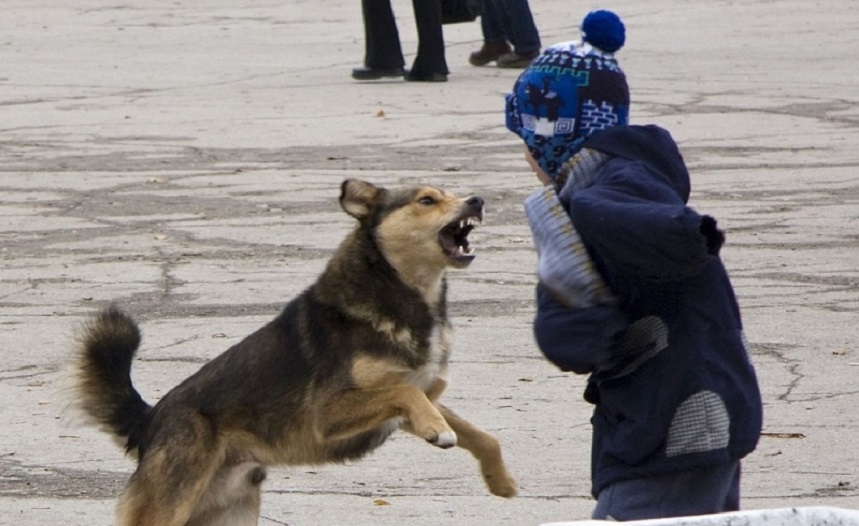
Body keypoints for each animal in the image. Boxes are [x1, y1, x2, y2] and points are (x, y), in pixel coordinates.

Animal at [72, 179, 516, 524]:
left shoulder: (415, 401)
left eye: (451, 192)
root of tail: (149, 421)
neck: (399, 293)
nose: (476, 200)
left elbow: (482, 435)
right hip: (170, 503)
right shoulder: (330, 414)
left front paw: (501, 479)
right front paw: (439, 432)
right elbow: (405, 393)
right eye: (427, 200)